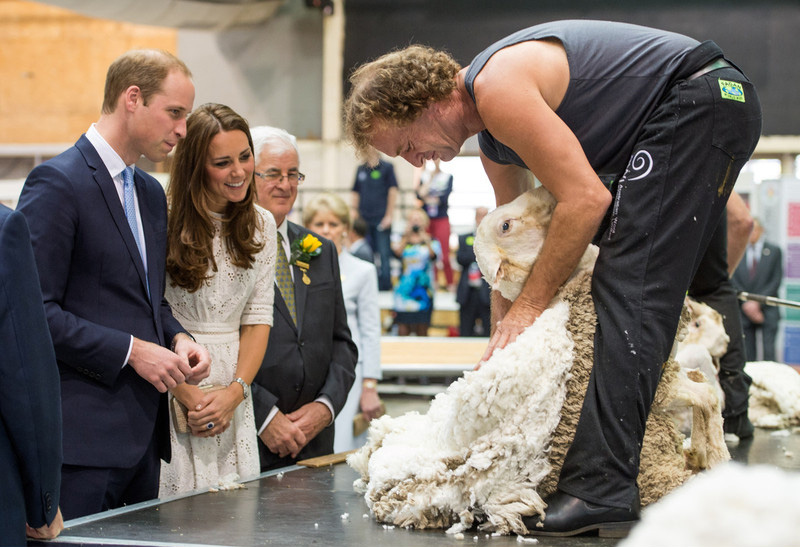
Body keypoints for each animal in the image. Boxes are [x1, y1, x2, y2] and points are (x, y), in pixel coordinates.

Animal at [346, 187, 728, 536]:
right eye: (506, 225)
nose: (544, 190)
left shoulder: (667, 375)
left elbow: (705, 390)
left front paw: (707, 452)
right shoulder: (658, 386)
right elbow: (706, 396)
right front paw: (714, 455)